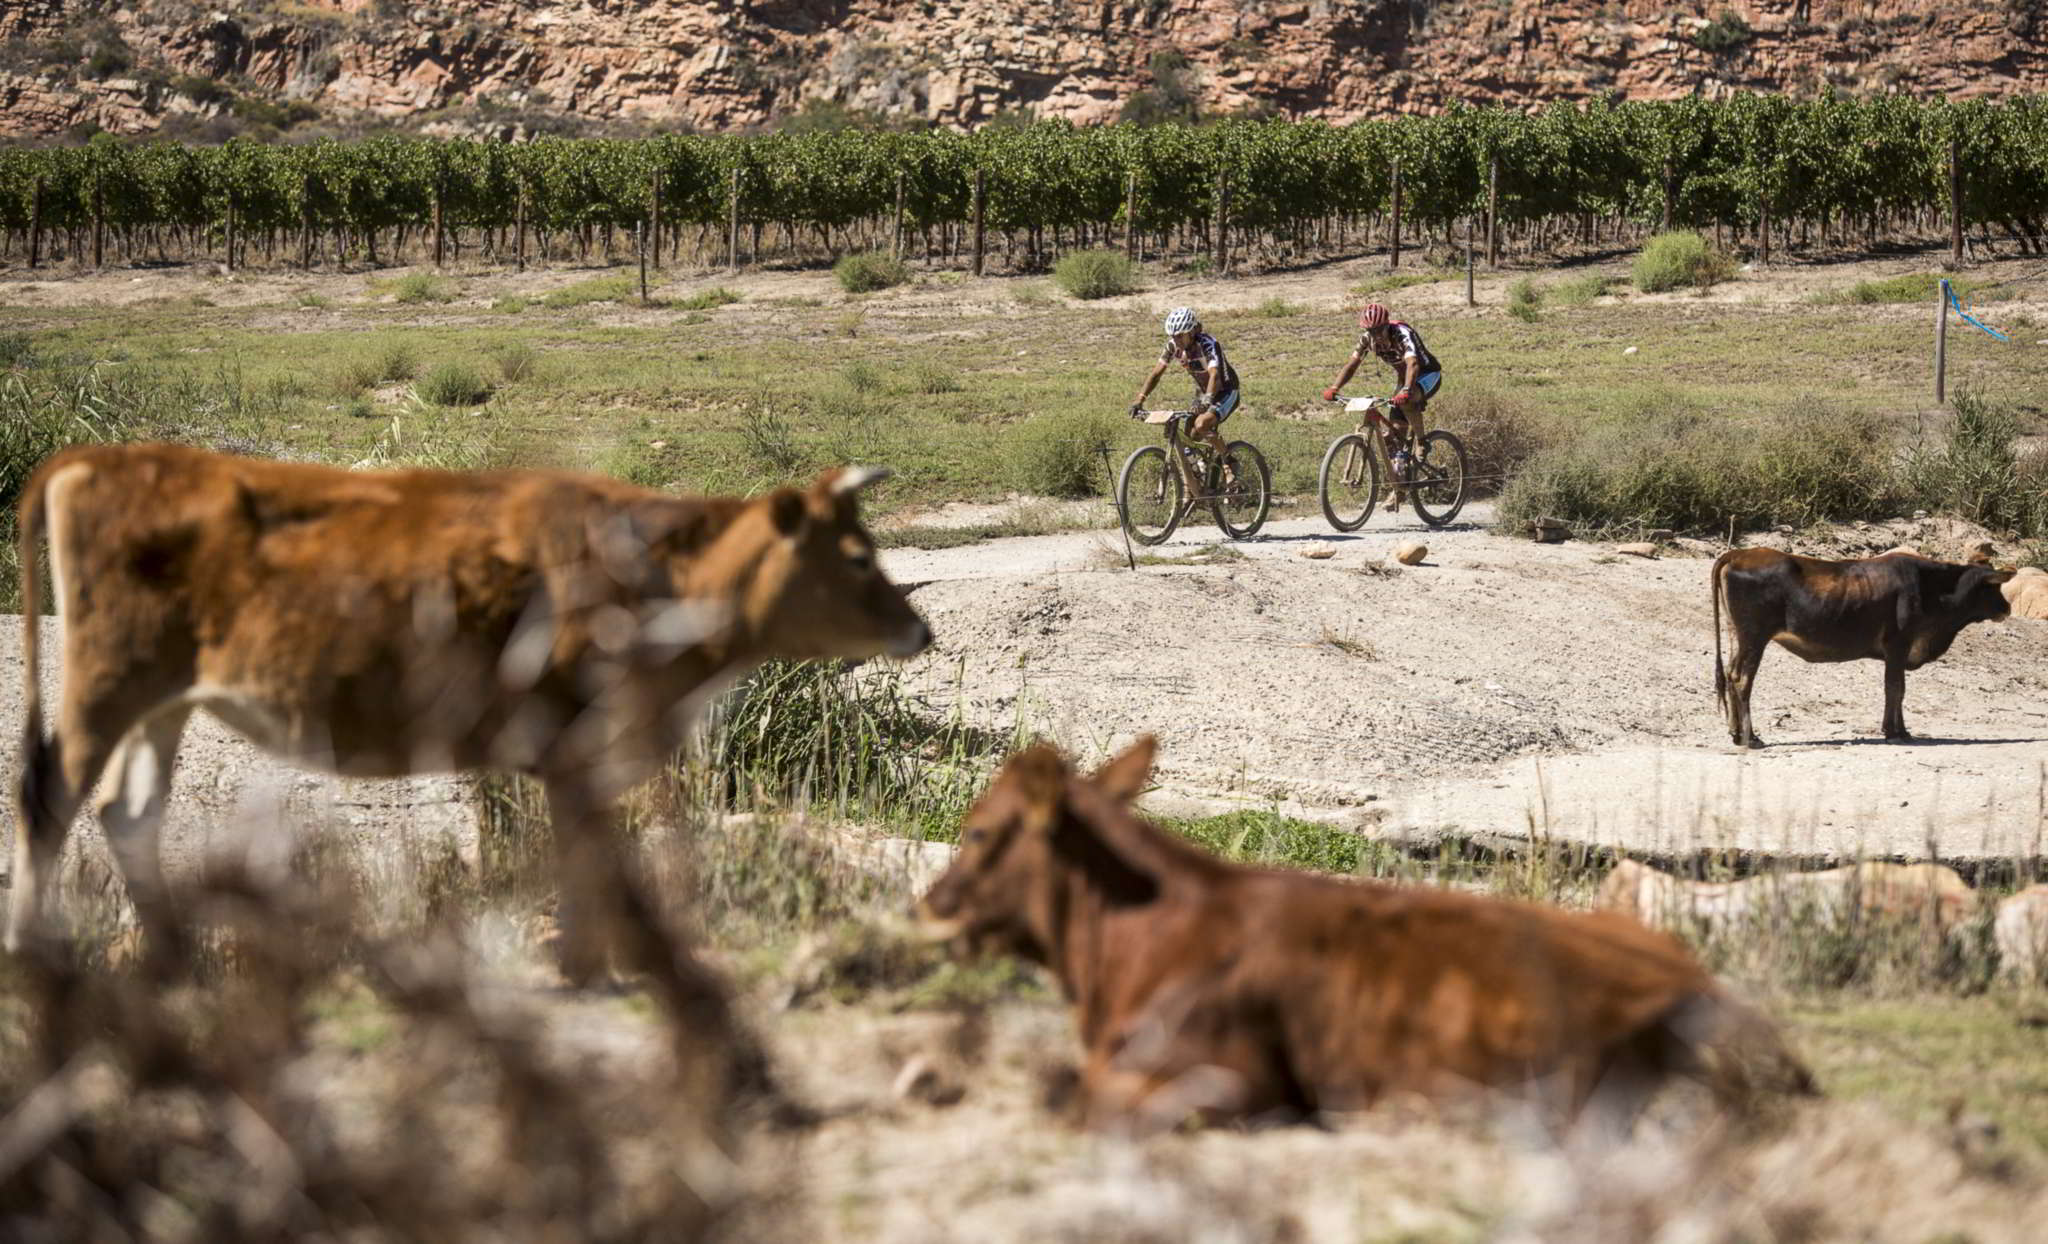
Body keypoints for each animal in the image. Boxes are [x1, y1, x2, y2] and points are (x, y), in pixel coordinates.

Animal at [8, 442, 933, 979]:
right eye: (858, 556)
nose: (918, 628)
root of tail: (99, 456)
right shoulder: (569, 747)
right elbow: (586, 859)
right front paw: (586, 967)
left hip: (165, 699)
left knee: (130, 813)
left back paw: (171, 963)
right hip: (108, 680)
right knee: (51, 797)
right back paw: (33, 955)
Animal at [1712, 549, 2015, 750]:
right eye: (1993, 588)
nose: (2007, 608)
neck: (1931, 590)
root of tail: (1739, 553)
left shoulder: (1898, 652)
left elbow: (1898, 690)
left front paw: (1901, 730)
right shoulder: (1898, 645)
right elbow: (1895, 688)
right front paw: (1893, 731)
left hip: (1740, 636)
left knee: (1730, 675)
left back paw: (1736, 733)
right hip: (1754, 637)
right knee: (1742, 679)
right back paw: (1751, 737)